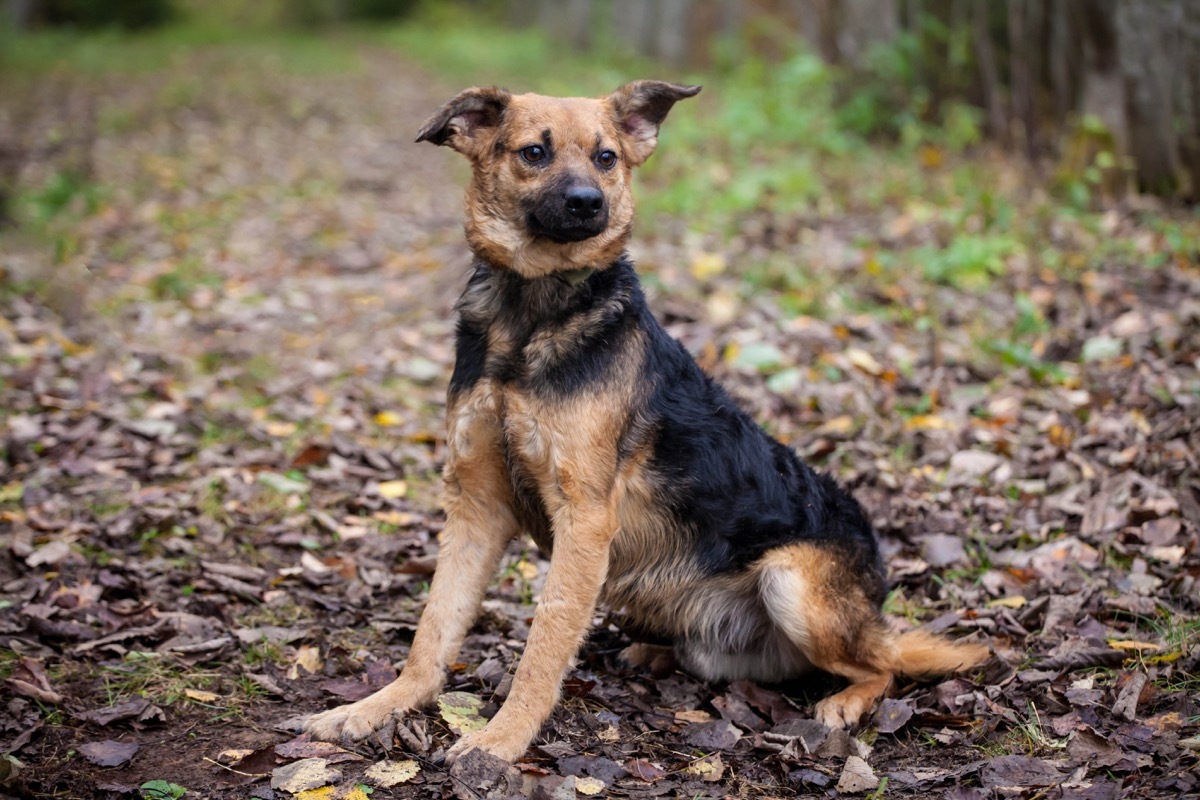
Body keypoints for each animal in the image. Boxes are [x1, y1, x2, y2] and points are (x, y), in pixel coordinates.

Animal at [304, 79, 988, 762]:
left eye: (606, 158)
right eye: (533, 153)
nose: (588, 202)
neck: (531, 312)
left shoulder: (583, 518)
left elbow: (545, 641)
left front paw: (502, 738)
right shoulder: (475, 504)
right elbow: (433, 628)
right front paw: (377, 707)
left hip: (791, 580)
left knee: (882, 666)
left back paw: (845, 700)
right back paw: (652, 654)